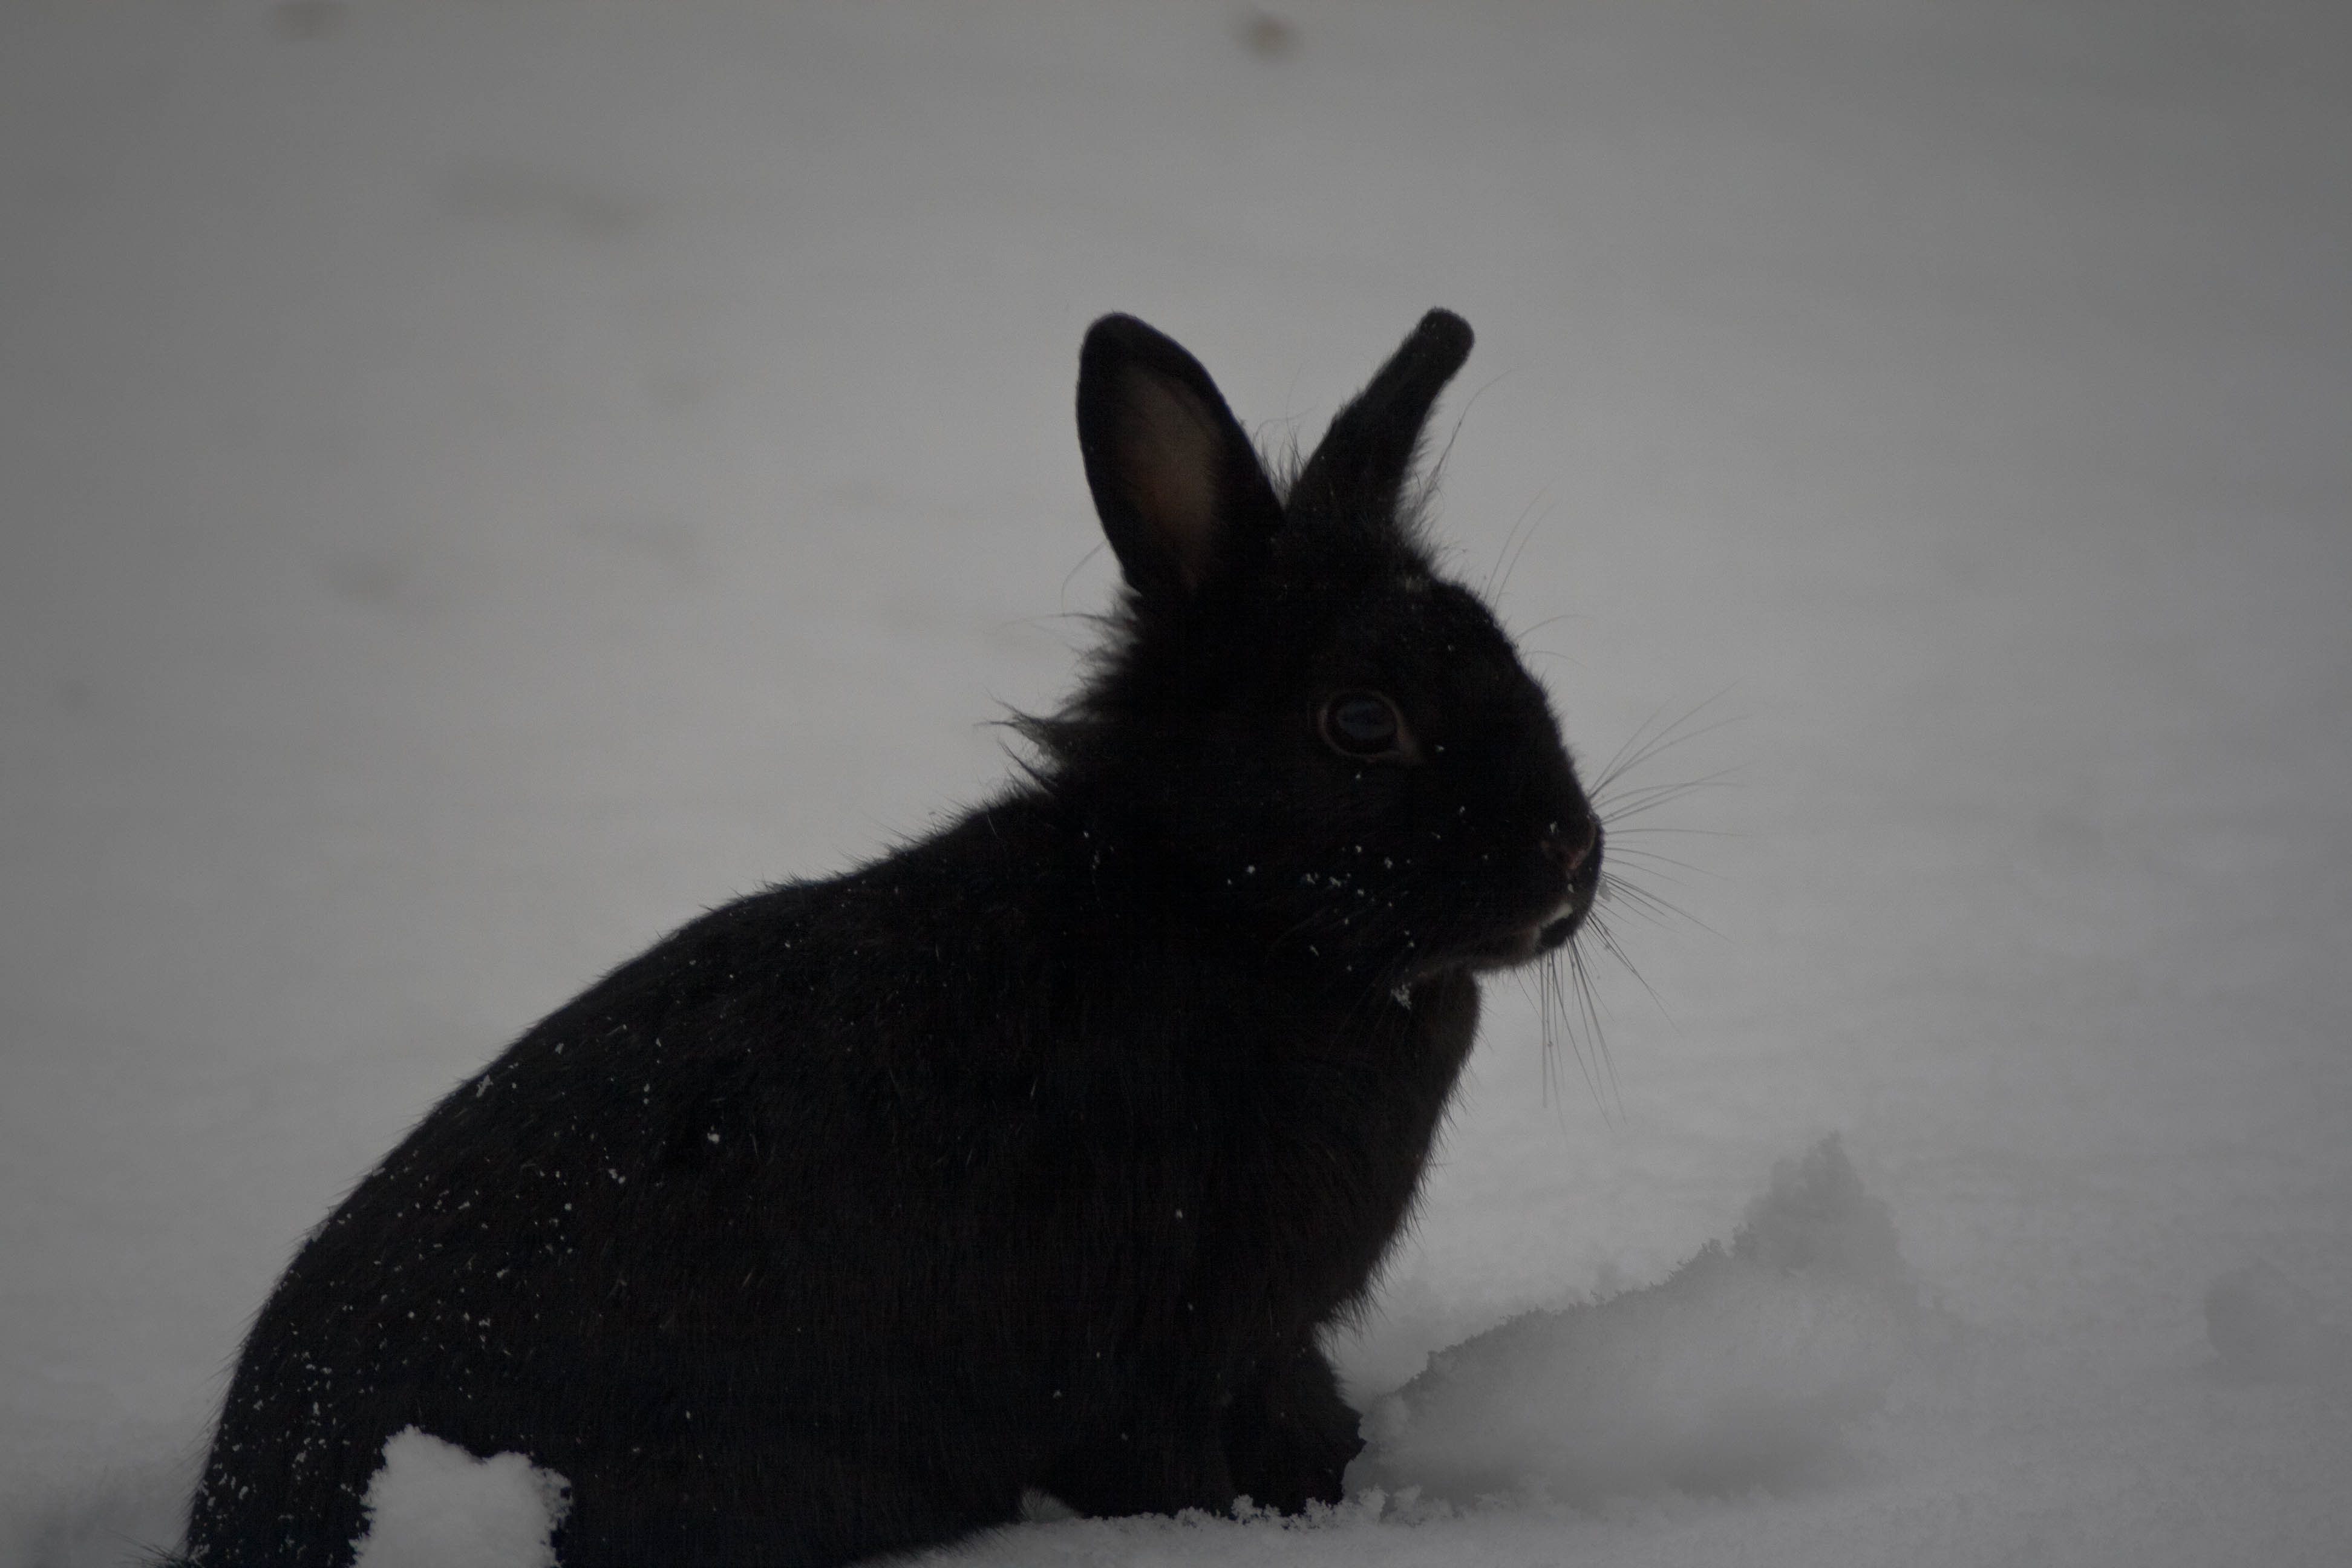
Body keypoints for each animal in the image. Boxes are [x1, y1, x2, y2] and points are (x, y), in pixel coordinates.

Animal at [166, 310, 1599, 1568]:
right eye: (1361, 722)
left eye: (1504, 651)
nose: (1571, 856)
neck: (1228, 908)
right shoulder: (1156, 1355)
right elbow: (1174, 1463)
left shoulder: (1266, 1344)